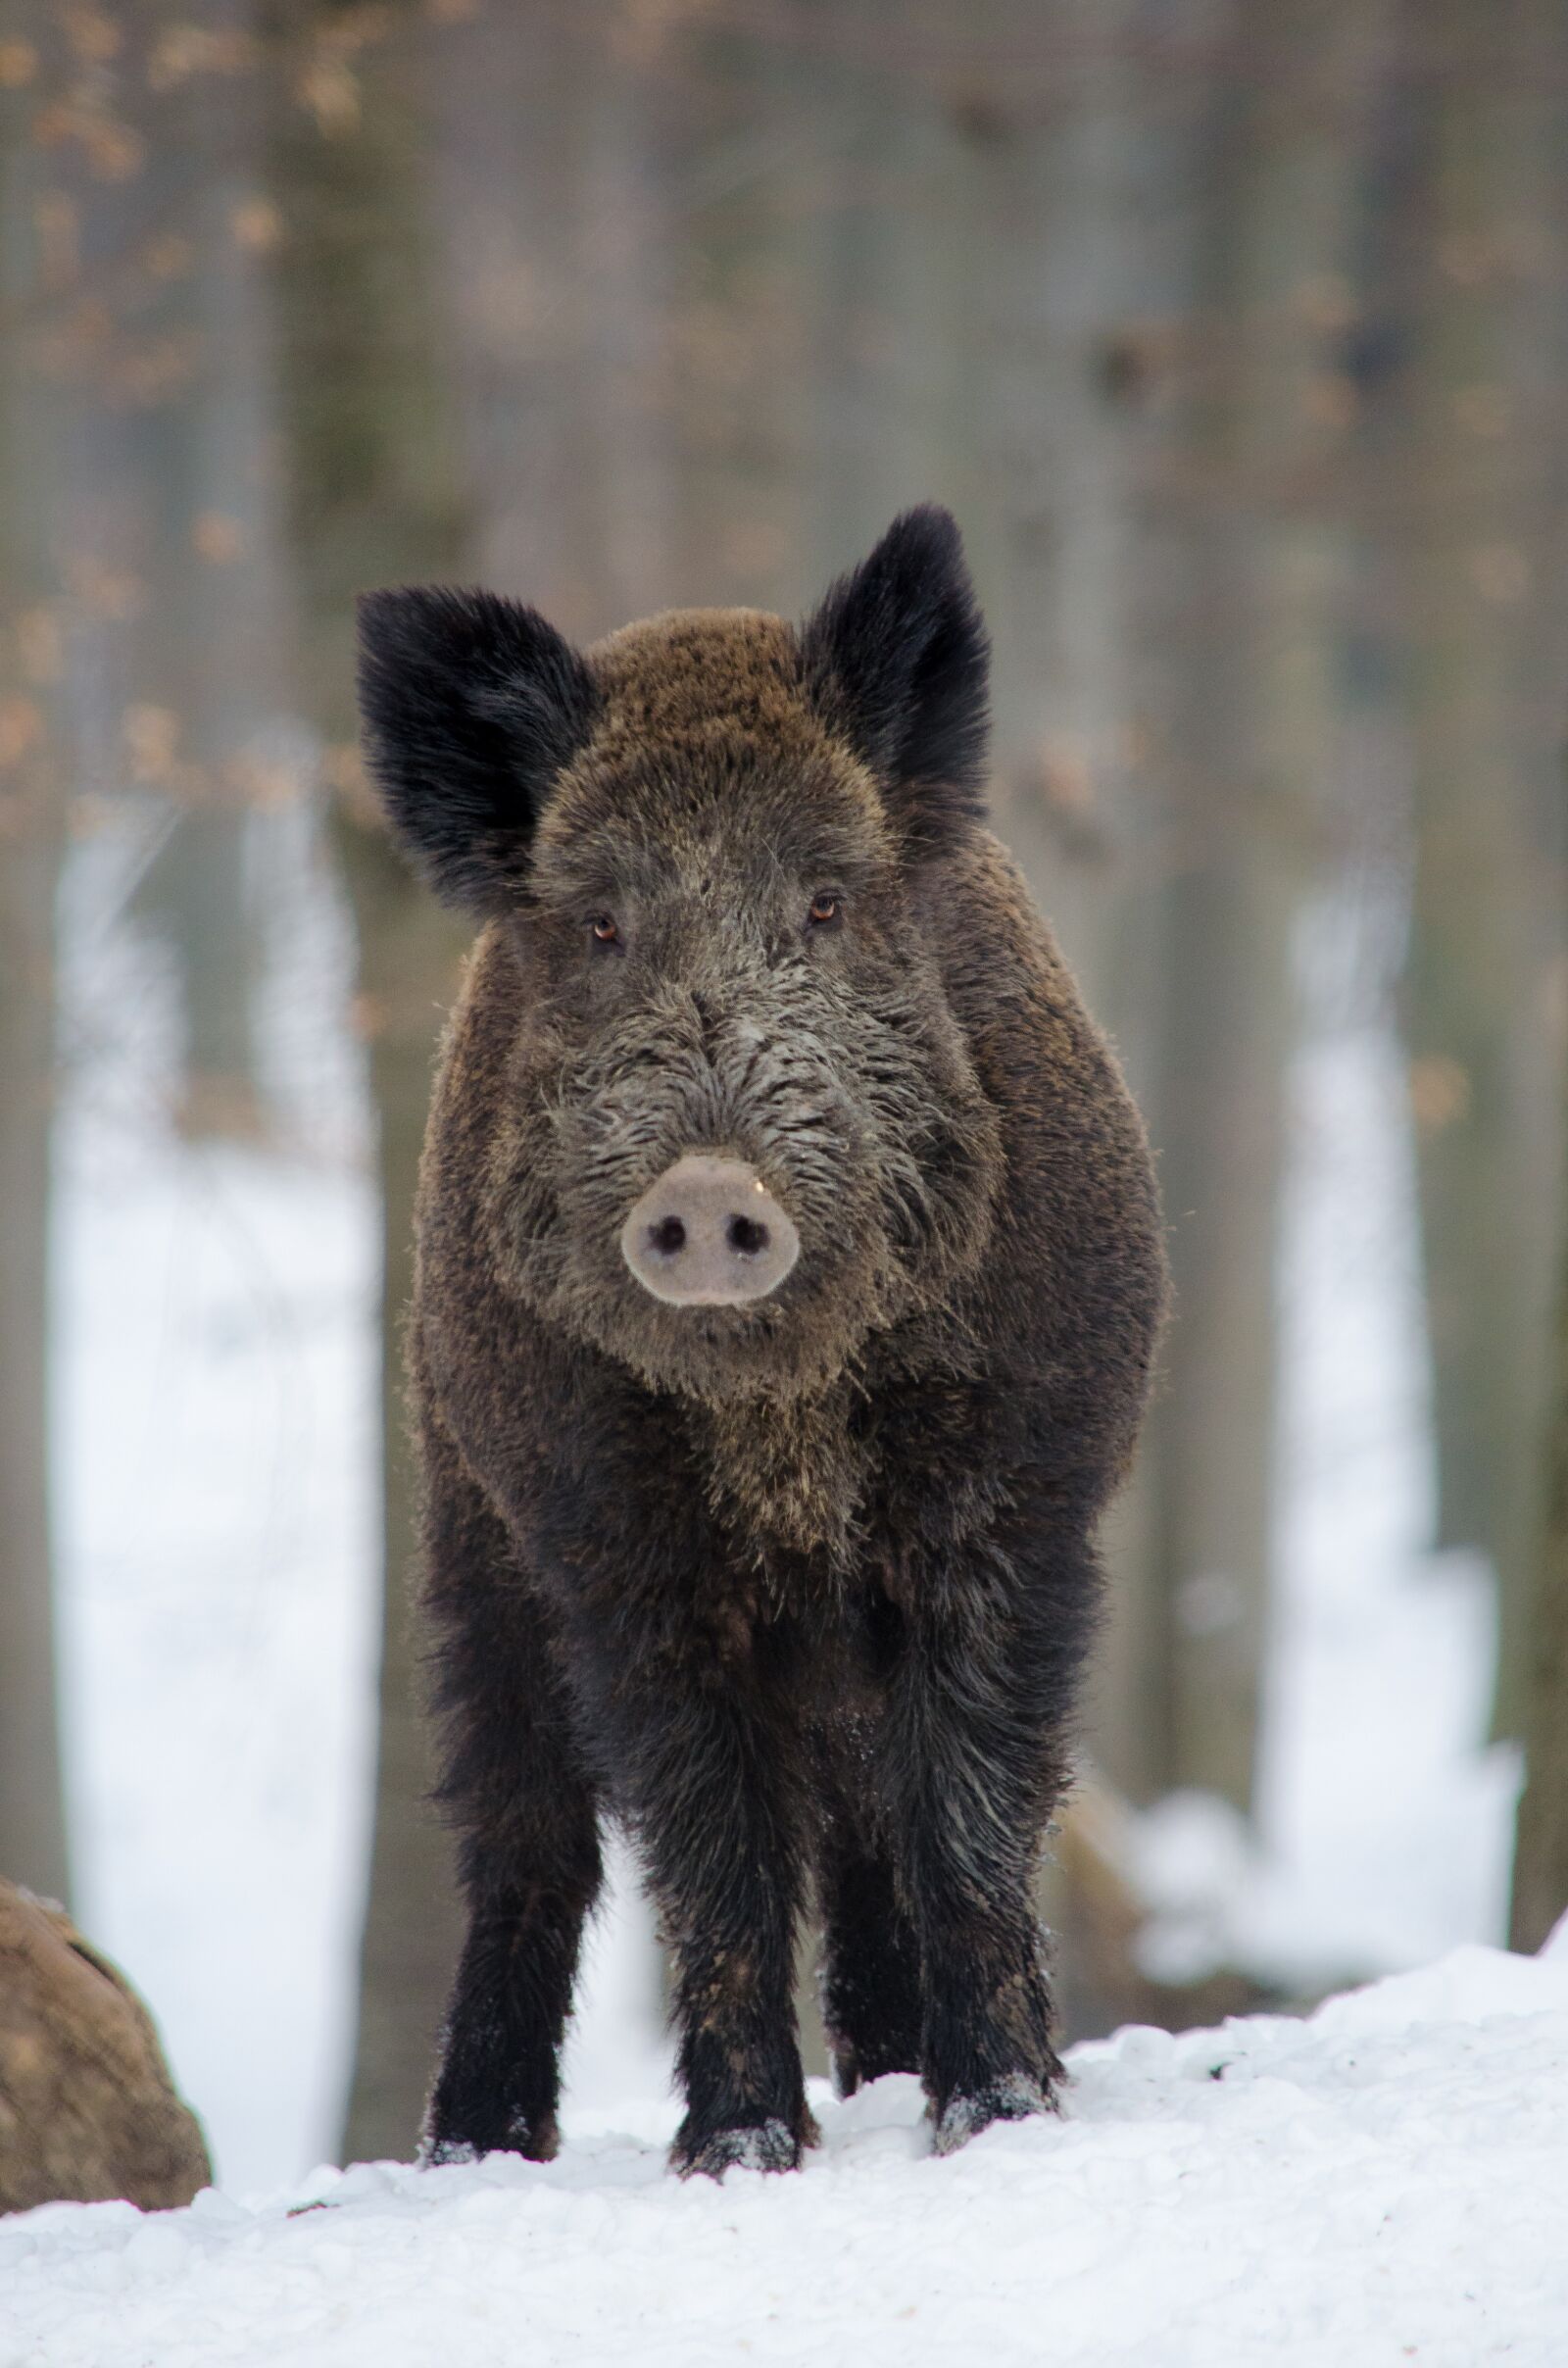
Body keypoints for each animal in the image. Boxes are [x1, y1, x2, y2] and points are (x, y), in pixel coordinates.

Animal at [356, 505, 1167, 2178]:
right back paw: (473, 2148)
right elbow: (709, 1845)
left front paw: (996, 2116)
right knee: (524, 1831)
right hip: (465, 1523)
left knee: (866, 1819)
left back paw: (892, 2073)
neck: (778, 1413)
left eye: (827, 907)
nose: (709, 1191)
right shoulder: (612, 1549)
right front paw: (739, 2153)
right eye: (601, 924)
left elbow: (971, 1811)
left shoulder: (1013, 1505)